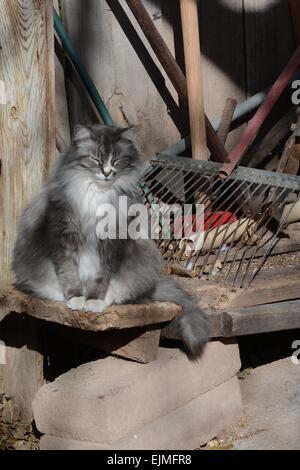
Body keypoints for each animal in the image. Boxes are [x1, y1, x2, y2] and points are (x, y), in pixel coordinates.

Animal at [11, 126, 209, 360]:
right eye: (96, 159)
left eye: (116, 160)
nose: (106, 172)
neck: (98, 195)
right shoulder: (64, 237)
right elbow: (69, 274)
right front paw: (76, 299)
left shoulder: (112, 243)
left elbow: (102, 279)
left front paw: (94, 301)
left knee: (120, 292)